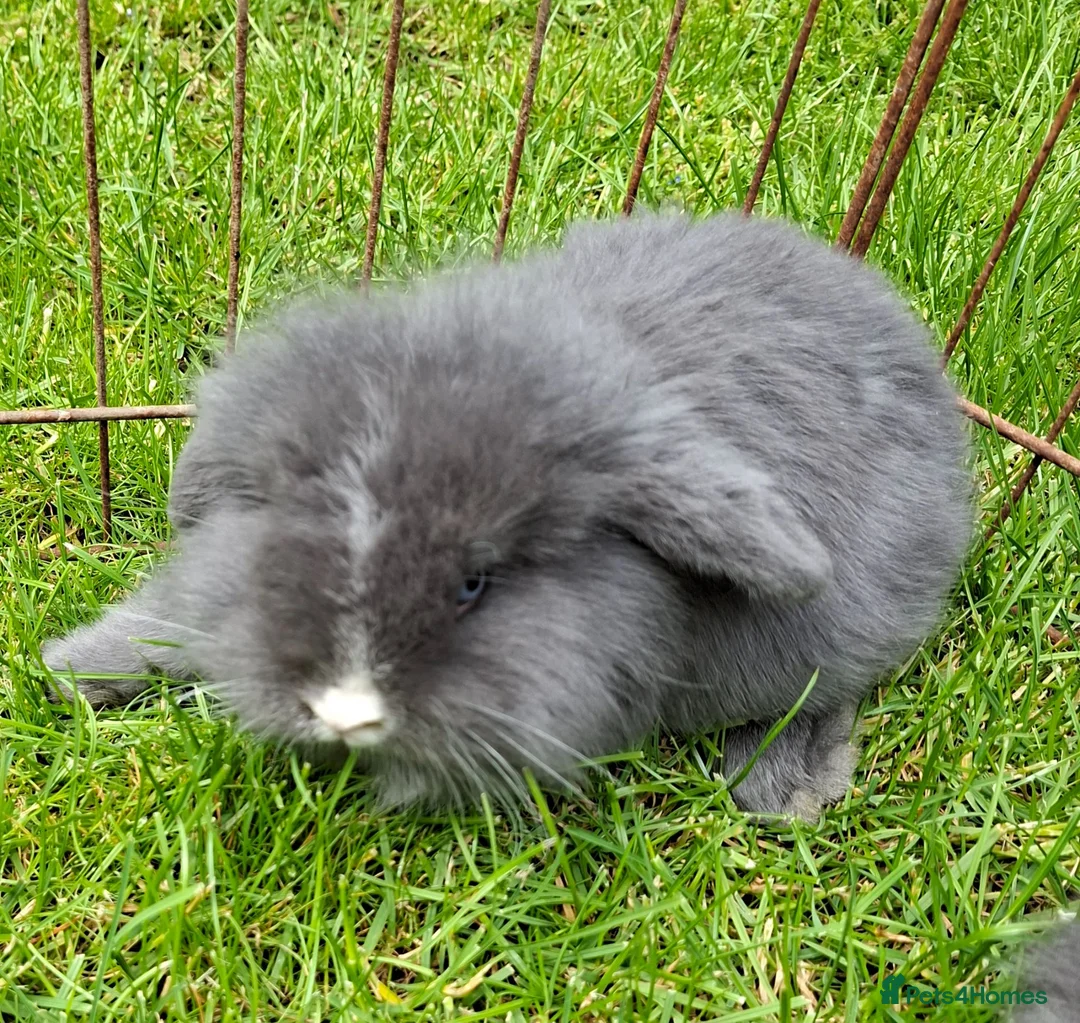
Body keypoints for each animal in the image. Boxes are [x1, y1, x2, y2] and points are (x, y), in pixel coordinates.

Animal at [42, 210, 974, 817]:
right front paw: (68, 672)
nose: (346, 710)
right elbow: (161, 622)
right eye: (293, 541)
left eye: (474, 585)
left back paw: (777, 790)